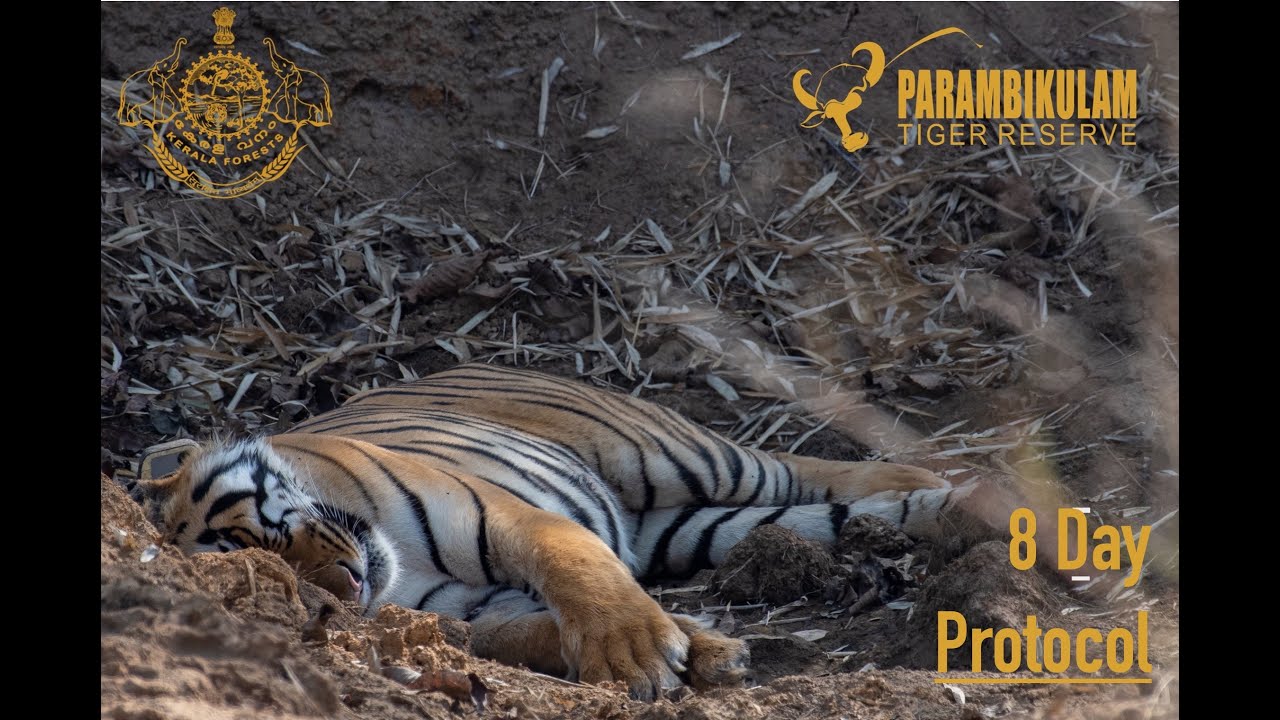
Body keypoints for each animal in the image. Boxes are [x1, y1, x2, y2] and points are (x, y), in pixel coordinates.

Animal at [133, 362, 976, 699]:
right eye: (288, 589)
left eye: (268, 532)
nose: (347, 582)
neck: (397, 569)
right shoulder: (465, 615)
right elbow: (539, 633)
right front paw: (705, 651)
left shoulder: (499, 512)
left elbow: (578, 569)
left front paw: (636, 655)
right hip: (690, 526)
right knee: (823, 514)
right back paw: (948, 515)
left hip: (671, 455)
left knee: (803, 465)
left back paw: (953, 488)